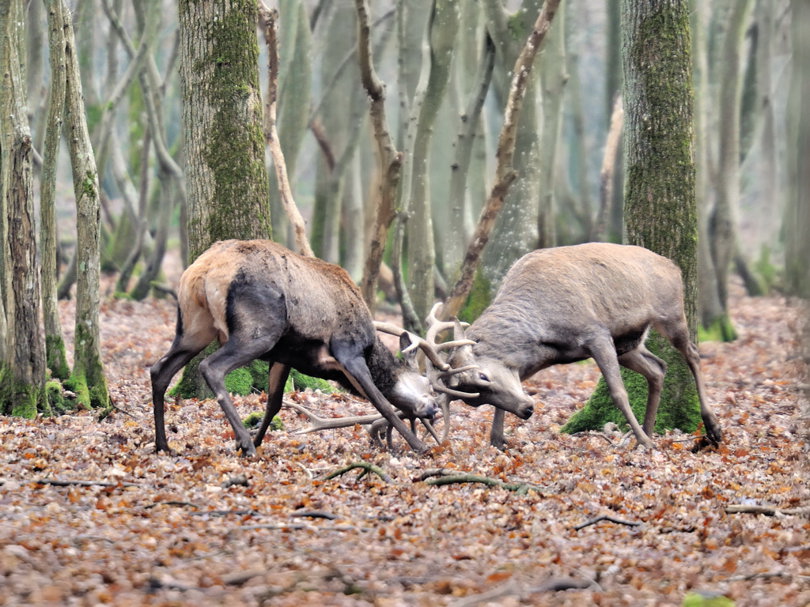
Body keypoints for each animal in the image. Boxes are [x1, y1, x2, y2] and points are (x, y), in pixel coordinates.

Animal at [150, 239, 450, 456]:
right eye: (427, 384)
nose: (434, 409)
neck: (370, 348)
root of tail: (204, 269)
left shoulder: (285, 357)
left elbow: (274, 403)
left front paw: (259, 440)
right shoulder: (348, 350)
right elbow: (381, 401)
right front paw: (420, 446)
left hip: (193, 328)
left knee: (159, 369)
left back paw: (164, 445)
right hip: (258, 329)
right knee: (210, 366)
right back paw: (244, 443)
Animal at [443, 242, 722, 450]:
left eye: (483, 376)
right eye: (475, 401)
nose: (527, 410)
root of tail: (674, 266)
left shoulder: (595, 333)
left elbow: (618, 392)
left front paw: (645, 442)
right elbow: (512, 391)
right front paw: (497, 440)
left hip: (671, 314)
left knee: (693, 354)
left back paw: (711, 426)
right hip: (627, 343)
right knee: (658, 367)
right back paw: (649, 430)